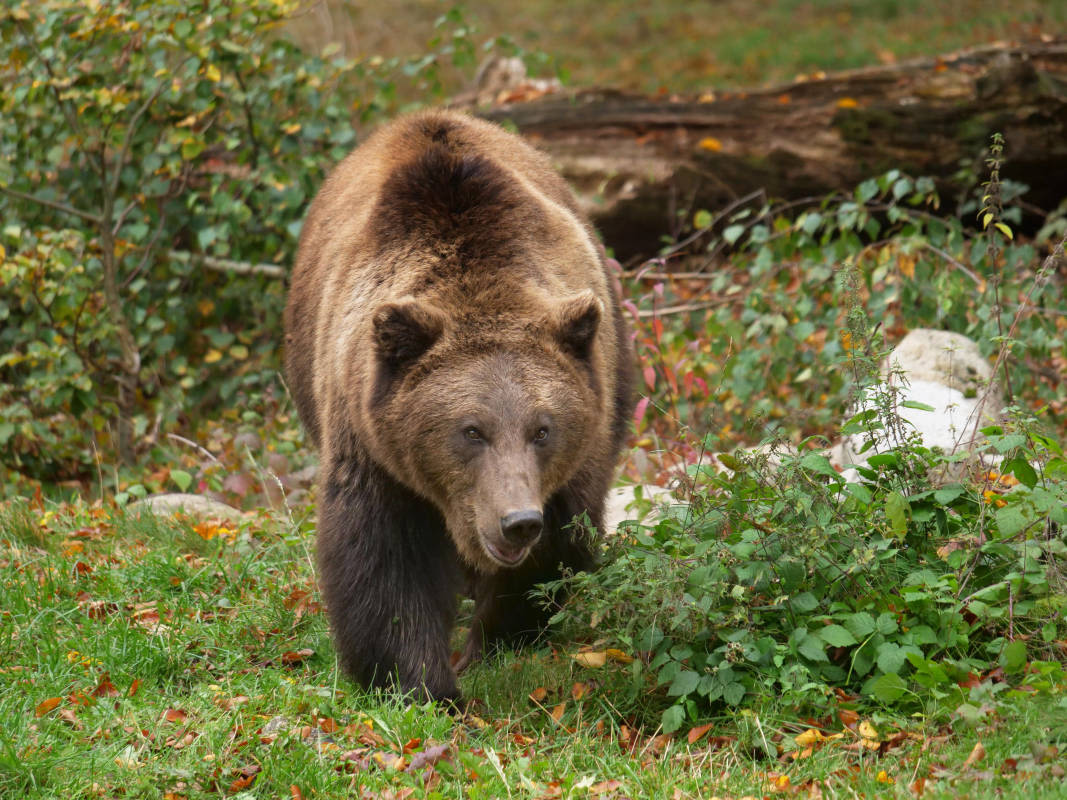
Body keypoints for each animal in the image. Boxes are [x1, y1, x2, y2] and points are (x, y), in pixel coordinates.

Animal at [283, 109, 631, 704]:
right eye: (471, 430)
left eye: (542, 429)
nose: (517, 522)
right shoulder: (371, 441)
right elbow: (384, 560)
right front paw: (420, 682)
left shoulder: (576, 448)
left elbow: (556, 543)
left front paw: (492, 642)